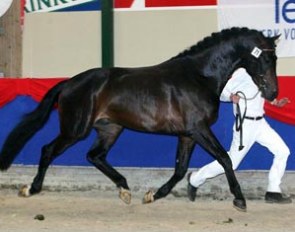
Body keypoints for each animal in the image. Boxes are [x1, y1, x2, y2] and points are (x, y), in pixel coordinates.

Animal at [0, 27, 280, 212]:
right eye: (266, 58)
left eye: (275, 58)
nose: (273, 93)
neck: (200, 76)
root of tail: (69, 83)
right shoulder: (199, 130)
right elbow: (225, 158)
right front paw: (240, 199)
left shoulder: (187, 134)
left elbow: (180, 169)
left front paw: (153, 195)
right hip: (75, 130)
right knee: (48, 150)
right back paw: (30, 189)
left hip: (111, 129)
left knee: (95, 156)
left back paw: (125, 190)